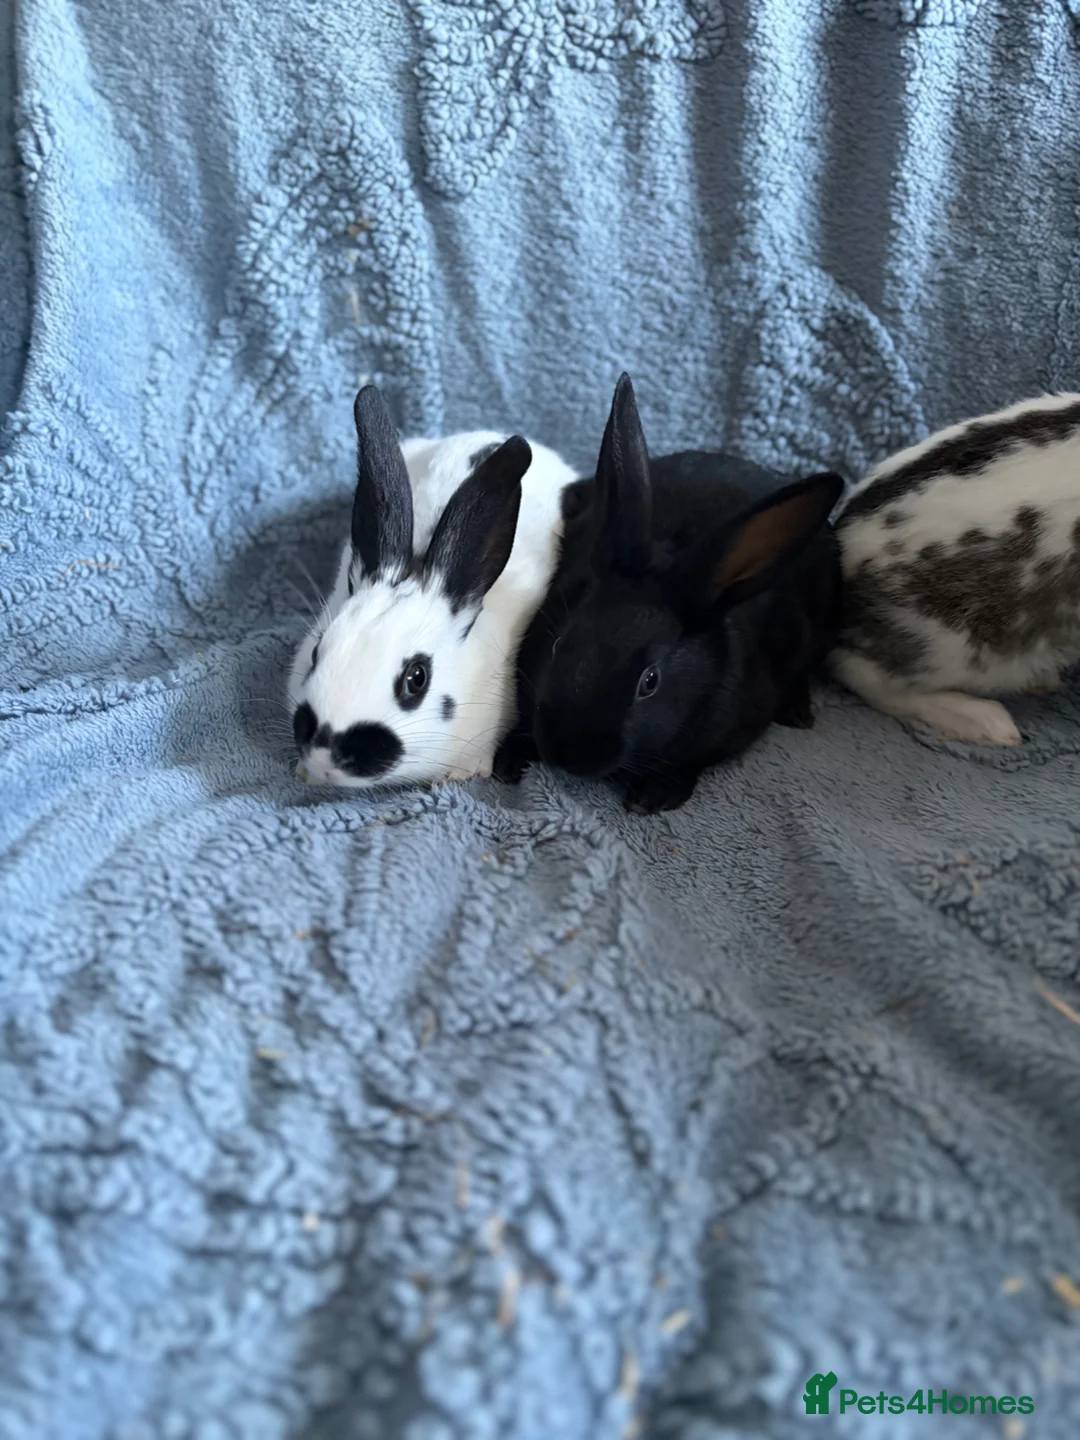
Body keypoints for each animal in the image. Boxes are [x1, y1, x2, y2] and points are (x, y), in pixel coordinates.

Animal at [493, 373, 845, 813]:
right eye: (559, 645)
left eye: (651, 681)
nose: (568, 755)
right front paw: (510, 758)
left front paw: (655, 794)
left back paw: (798, 712)